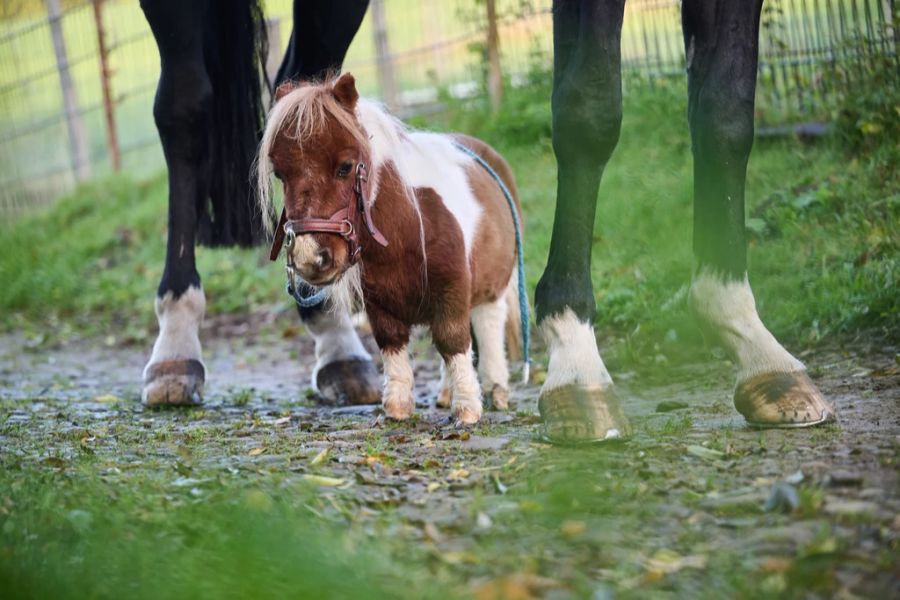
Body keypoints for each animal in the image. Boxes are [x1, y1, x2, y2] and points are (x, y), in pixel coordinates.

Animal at [258, 74, 528, 426]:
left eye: (346, 167)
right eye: (280, 173)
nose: (310, 258)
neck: (407, 227)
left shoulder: (453, 289)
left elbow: (452, 341)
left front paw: (468, 409)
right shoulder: (380, 302)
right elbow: (392, 342)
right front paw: (397, 408)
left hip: (492, 288)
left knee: (488, 326)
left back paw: (496, 389)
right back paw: (446, 393)